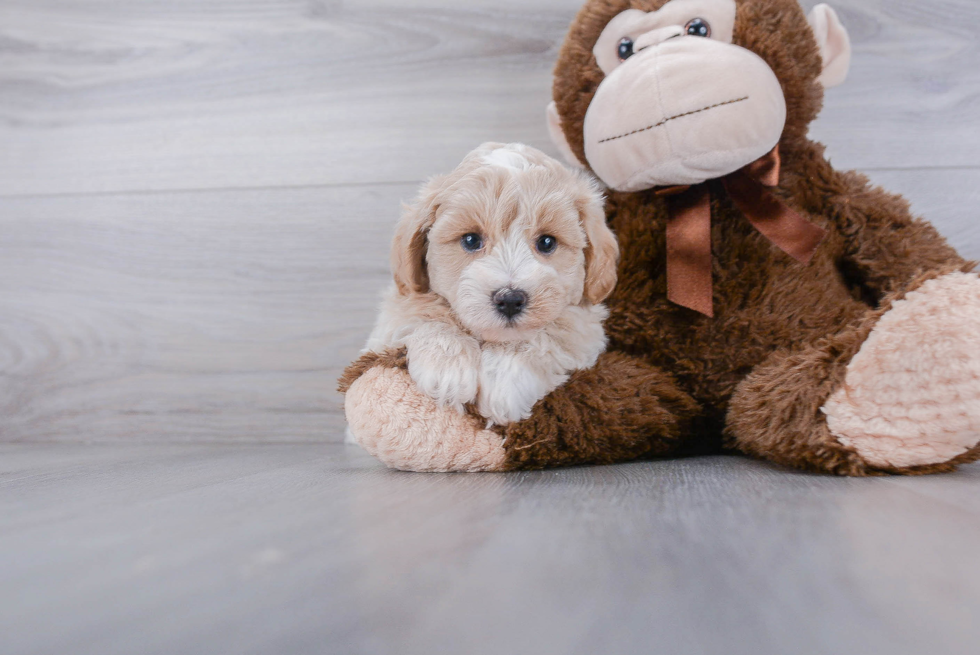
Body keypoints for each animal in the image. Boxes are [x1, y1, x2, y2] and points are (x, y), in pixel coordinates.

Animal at [364, 142, 616, 426]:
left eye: (547, 242)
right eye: (471, 240)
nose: (510, 300)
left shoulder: (585, 325)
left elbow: (551, 333)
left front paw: (504, 383)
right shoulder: (397, 307)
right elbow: (421, 313)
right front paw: (446, 365)